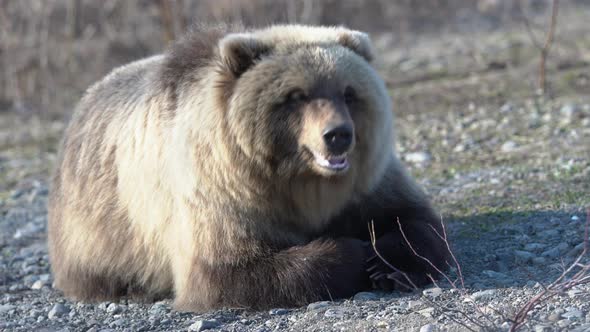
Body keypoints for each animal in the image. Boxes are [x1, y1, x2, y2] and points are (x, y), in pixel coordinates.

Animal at [48, 24, 450, 312]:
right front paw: (352, 252)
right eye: (296, 95)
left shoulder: (368, 182)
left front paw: (385, 261)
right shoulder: (216, 193)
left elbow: (416, 219)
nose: (338, 135)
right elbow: (229, 271)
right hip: (97, 225)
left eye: (349, 92)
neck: (297, 183)